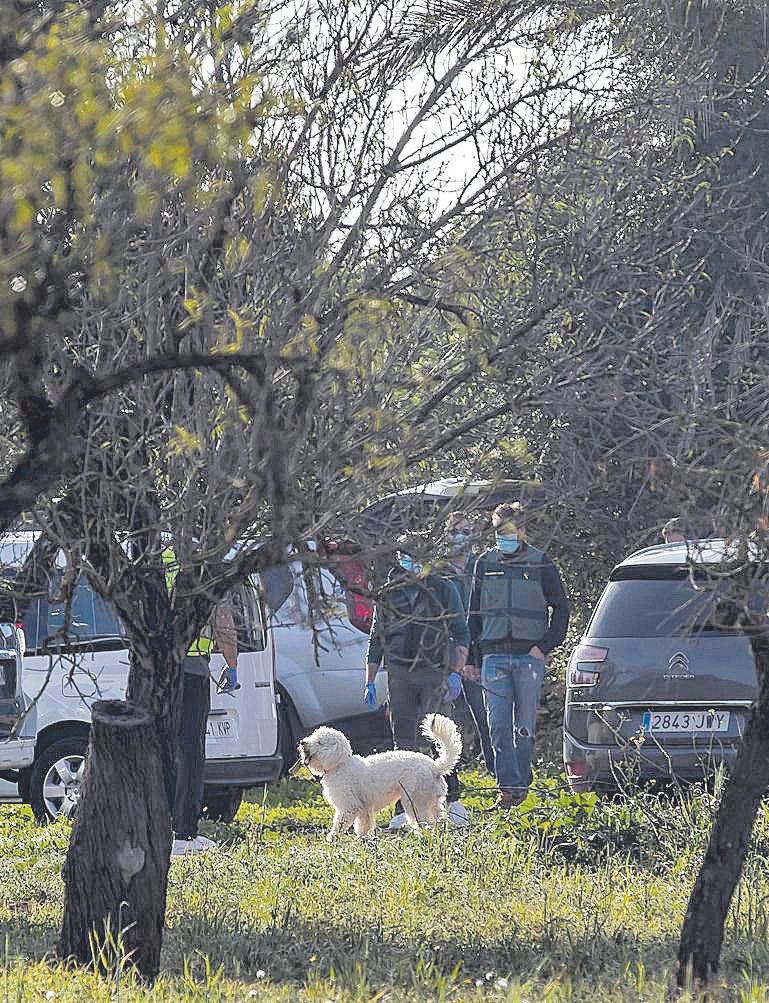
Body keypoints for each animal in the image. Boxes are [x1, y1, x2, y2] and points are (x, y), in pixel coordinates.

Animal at [296, 714, 461, 838]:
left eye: (320, 741)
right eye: (313, 736)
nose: (302, 742)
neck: (340, 764)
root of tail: (435, 767)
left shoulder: (349, 807)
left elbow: (340, 824)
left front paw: (333, 839)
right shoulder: (362, 809)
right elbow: (363, 825)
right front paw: (360, 839)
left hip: (415, 801)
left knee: (427, 823)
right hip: (432, 801)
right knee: (440, 819)